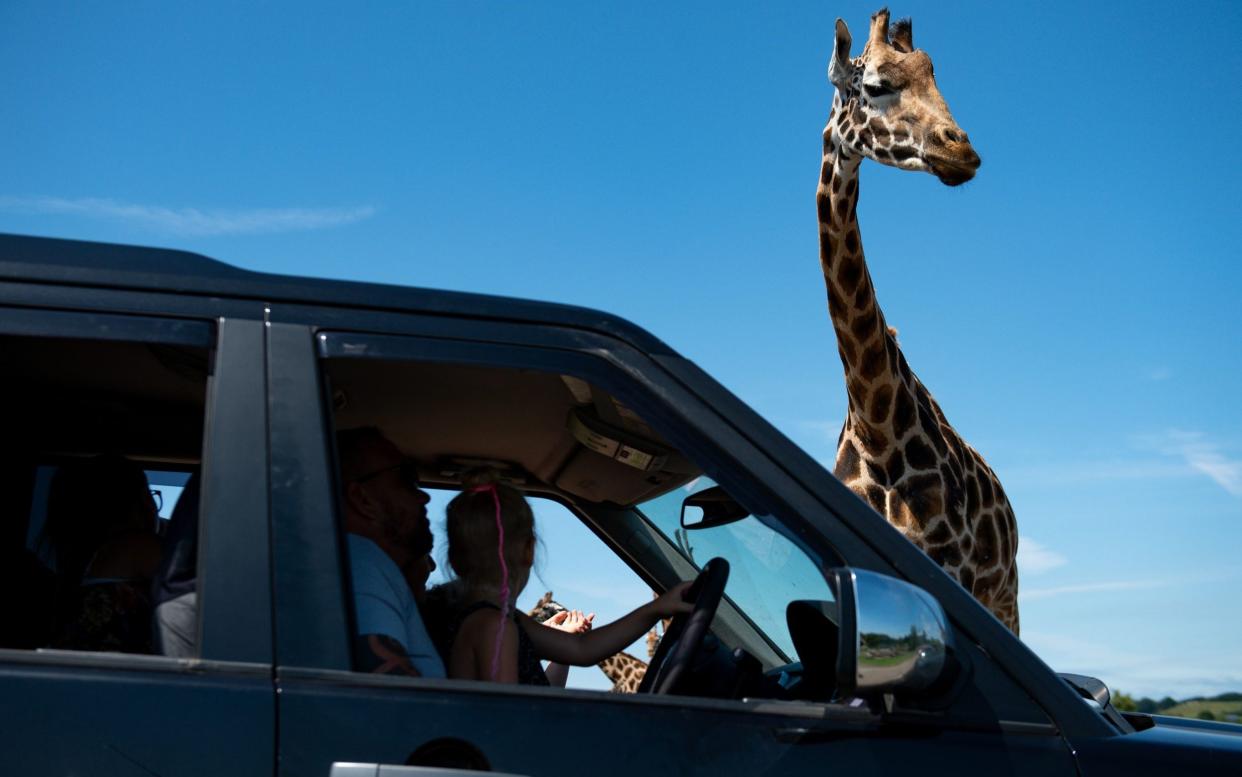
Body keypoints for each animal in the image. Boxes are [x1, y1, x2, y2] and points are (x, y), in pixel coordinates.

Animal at [814, 9, 1018, 633]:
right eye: (876, 85)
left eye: (936, 78)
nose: (963, 152)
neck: (876, 425)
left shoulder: (954, 578)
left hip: (1006, 596)